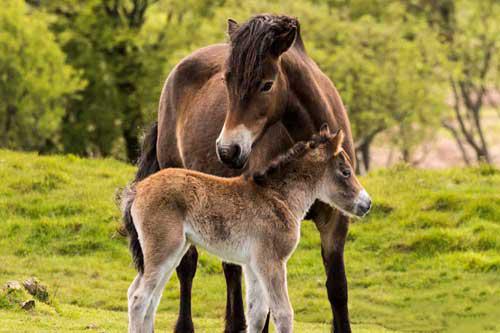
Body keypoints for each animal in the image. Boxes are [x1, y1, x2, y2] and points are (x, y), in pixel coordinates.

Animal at [134, 14, 356, 330]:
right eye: (227, 80)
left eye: (267, 84)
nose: (229, 150)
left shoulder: (335, 221)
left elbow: (337, 288)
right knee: (187, 268)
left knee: (230, 271)